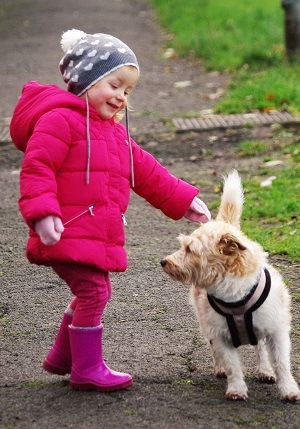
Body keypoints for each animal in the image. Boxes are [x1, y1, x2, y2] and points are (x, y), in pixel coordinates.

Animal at [162, 169, 300, 400]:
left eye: (190, 249)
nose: (164, 262)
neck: (234, 294)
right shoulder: (221, 336)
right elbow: (232, 365)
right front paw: (236, 388)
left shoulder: (276, 331)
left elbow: (281, 363)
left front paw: (289, 389)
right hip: (206, 325)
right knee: (217, 351)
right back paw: (221, 368)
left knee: (261, 349)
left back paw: (265, 370)